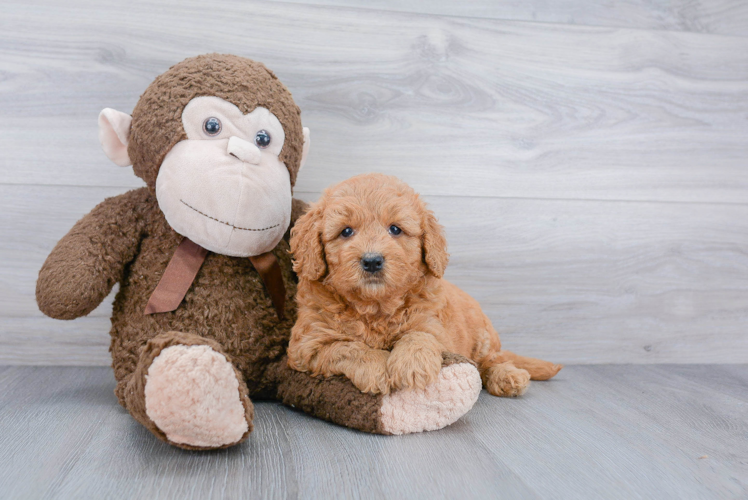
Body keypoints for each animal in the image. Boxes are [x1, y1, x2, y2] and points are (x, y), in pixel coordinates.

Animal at [288, 174, 560, 396]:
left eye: (395, 229)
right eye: (345, 232)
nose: (372, 261)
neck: (375, 307)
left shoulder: (433, 324)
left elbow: (419, 334)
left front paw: (412, 365)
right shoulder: (307, 345)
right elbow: (347, 347)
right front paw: (377, 369)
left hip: (483, 338)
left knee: (491, 361)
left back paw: (508, 376)